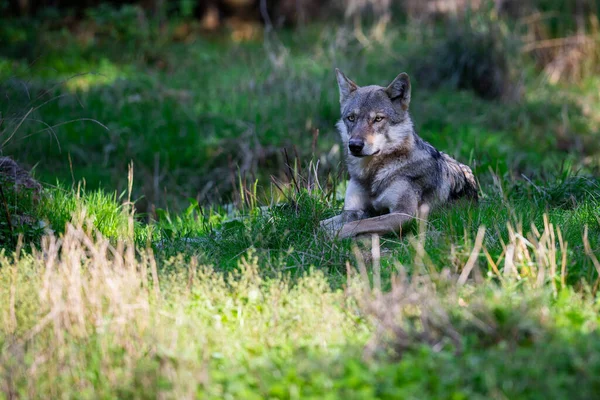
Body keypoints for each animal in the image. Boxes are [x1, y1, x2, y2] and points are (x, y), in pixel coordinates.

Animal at [318, 69, 478, 239]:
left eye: (378, 119)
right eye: (351, 118)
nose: (354, 145)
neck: (372, 174)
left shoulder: (405, 215)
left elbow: (354, 225)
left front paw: (331, 235)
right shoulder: (354, 210)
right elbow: (323, 222)